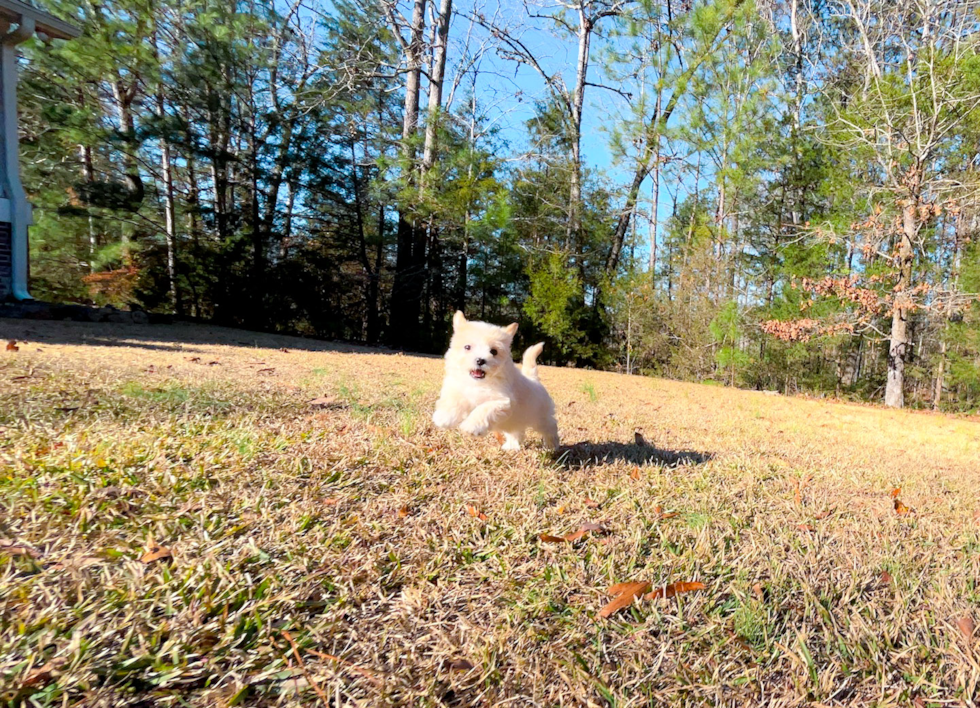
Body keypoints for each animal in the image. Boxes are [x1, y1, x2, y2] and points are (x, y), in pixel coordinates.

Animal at [430, 312, 560, 454]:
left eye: (493, 351)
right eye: (467, 347)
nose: (480, 360)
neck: (478, 383)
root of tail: (533, 379)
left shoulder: (502, 401)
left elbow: (484, 409)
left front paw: (471, 426)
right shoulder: (459, 389)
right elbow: (452, 401)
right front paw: (443, 418)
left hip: (540, 418)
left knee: (550, 427)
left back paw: (552, 446)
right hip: (516, 422)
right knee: (516, 432)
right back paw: (512, 446)